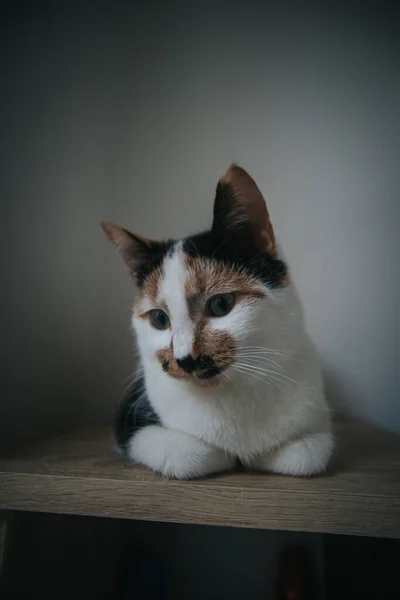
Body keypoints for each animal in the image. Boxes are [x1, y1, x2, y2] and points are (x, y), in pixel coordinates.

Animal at [101, 163, 332, 478]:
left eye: (221, 304)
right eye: (159, 318)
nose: (184, 359)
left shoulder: (318, 422)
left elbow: (306, 455)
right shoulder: (129, 422)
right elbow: (188, 455)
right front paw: (223, 455)